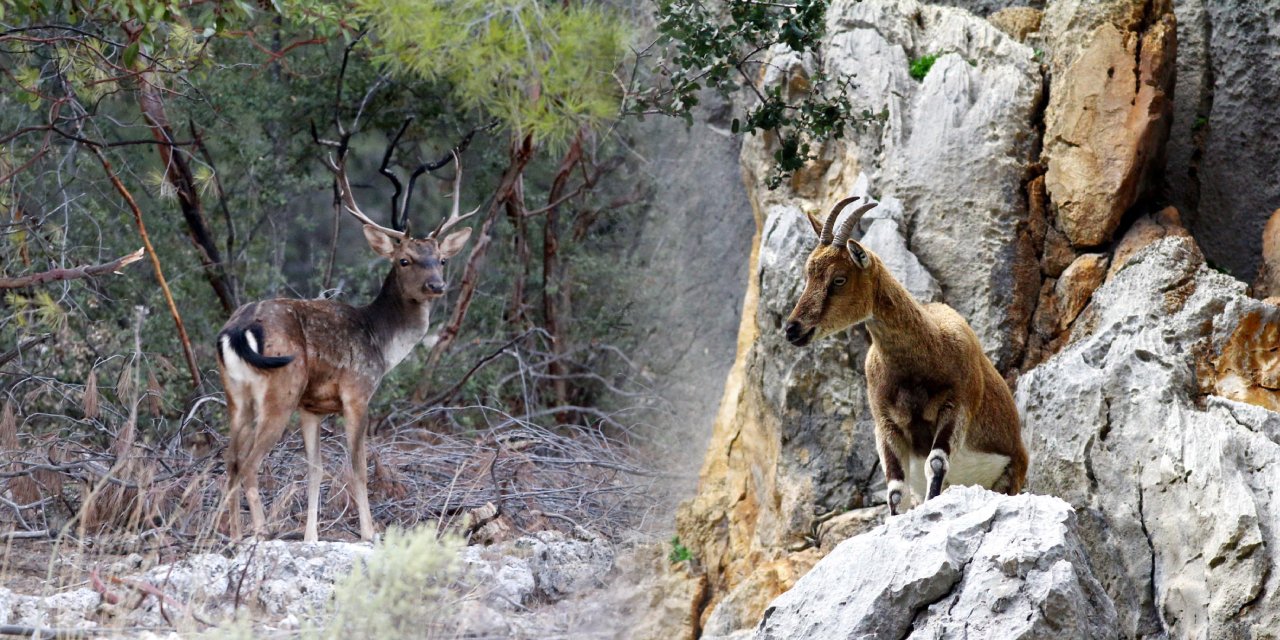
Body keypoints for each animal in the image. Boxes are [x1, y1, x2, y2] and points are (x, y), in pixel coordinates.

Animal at [215, 138, 476, 540]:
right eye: (404, 259)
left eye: (441, 259)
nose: (436, 285)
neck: (382, 343)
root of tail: (237, 327)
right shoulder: (357, 393)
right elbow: (357, 469)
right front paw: (370, 532)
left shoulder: (312, 408)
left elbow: (315, 471)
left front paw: (311, 536)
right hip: (280, 388)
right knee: (248, 463)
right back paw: (260, 532)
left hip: (236, 395)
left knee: (229, 461)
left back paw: (236, 535)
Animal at [778, 197, 1029, 517]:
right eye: (808, 275)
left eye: (838, 279)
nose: (793, 329)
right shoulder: (886, 424)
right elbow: (896, 491)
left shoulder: (958, 405)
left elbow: (936, 462)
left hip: (1013, 473)